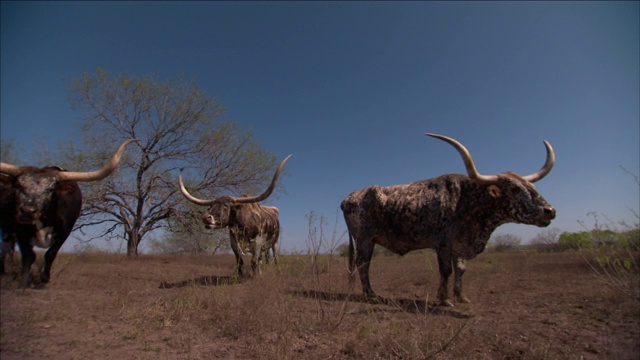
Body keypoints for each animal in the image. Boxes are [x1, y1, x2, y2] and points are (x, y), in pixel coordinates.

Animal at [0, 139, 136, 288]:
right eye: (18, 186)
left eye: (51, 189)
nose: (28, 210)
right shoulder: (20, 230)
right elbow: (28, 256)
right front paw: (24, 281)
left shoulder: (65, 231)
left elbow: (50, 254)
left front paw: (44, 278)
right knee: (6, 248)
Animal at [340, 135, 556, 306]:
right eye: (514, 189)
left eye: (532, 187)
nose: (550, 211)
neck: (467, 199)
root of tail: (349, 197)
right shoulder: (443, 243)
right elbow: (446, 270)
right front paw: (444, 300)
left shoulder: (459, 244)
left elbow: (460, 269)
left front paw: (461, 297)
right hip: (365, 239)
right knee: (363, 264)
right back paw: (371, 294)